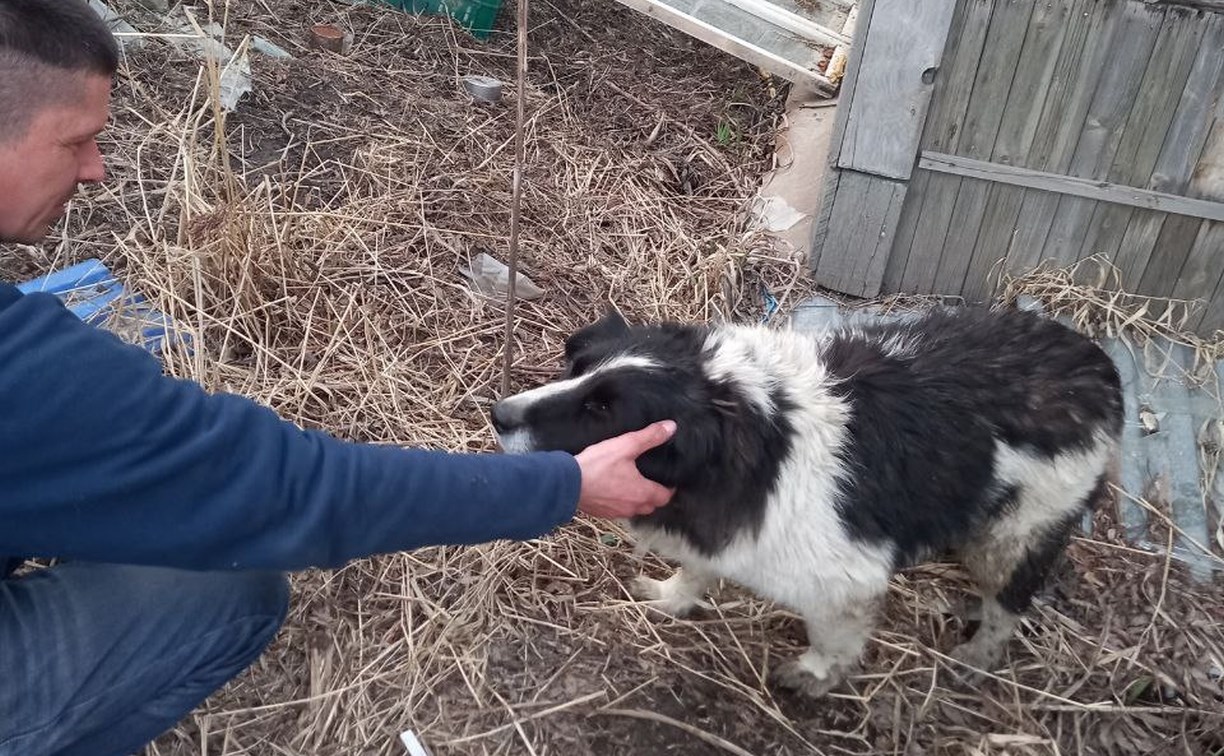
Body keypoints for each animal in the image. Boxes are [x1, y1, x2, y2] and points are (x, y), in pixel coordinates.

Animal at [492, 304, 1121, 694]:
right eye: (575, 368)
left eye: (602, 410)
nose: (498, 414)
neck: (750, 437)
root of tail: (1098, 366)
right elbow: (696, 569)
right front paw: (674, 598)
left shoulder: (845, 583)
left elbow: (832, 639)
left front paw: (815, 675)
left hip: (1017, 531)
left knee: (1010, 601)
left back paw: (978, 654)